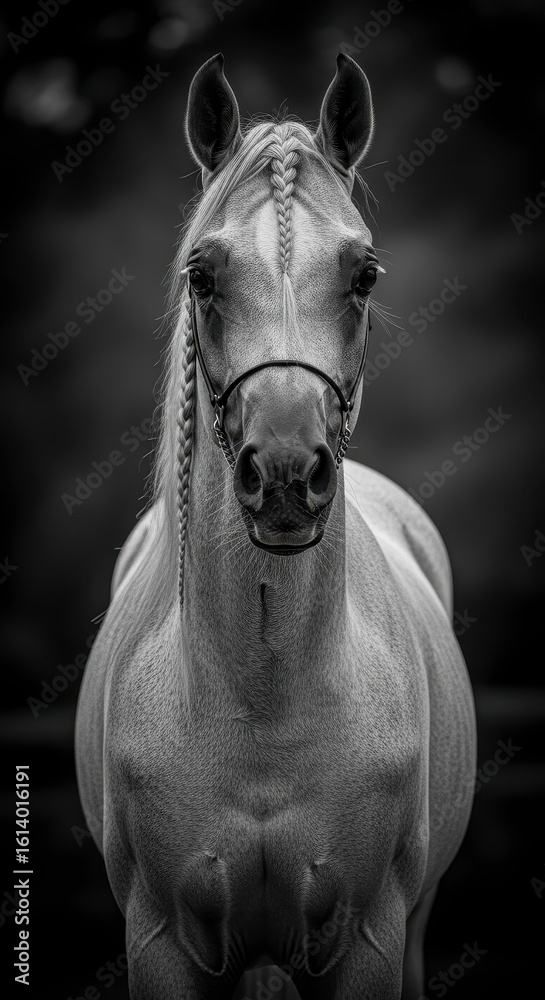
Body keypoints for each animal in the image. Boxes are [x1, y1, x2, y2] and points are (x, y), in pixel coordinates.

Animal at [75, 53, 476, 999]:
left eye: (365, 274)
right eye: (202, 276)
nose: (288, 477)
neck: (264, 698)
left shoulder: (370, 940)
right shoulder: (162, 942)